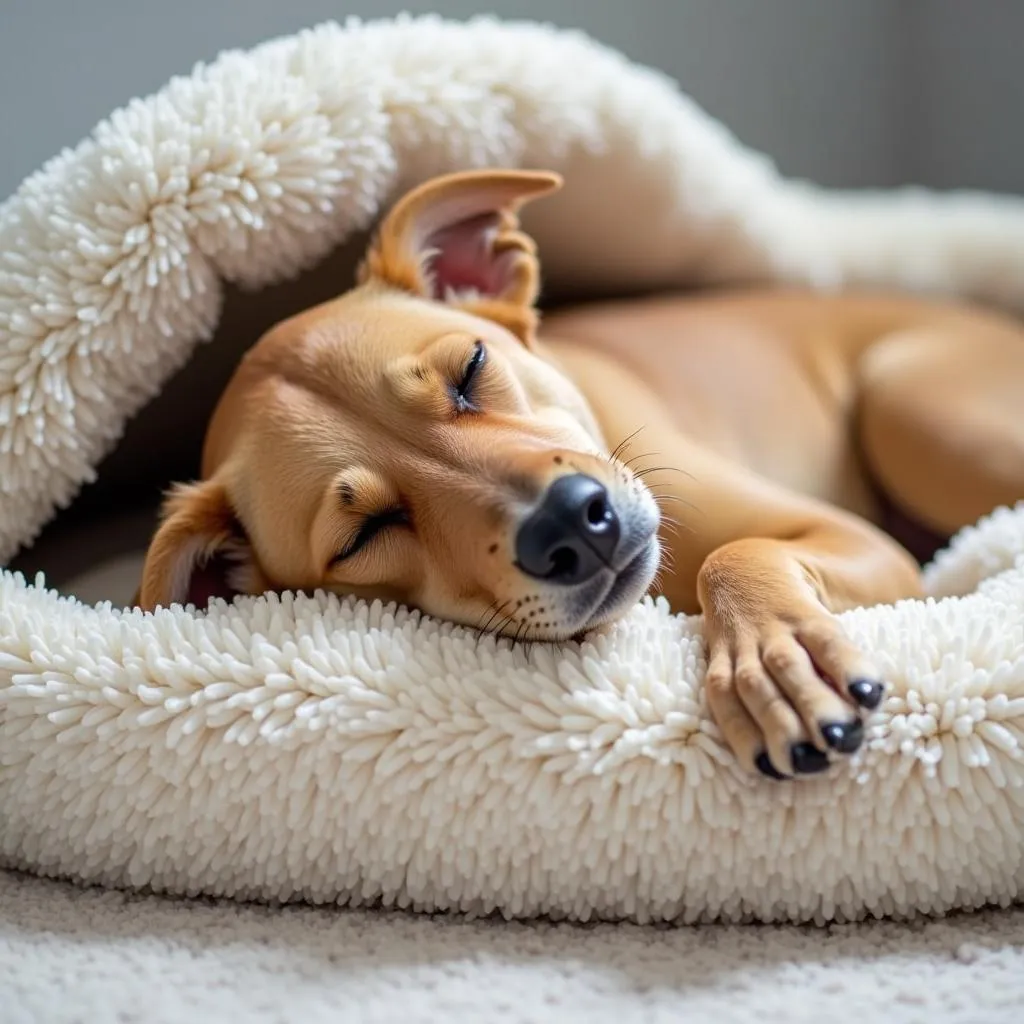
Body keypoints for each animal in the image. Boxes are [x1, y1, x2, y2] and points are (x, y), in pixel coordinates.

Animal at [136, 169, 1024, 774]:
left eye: (471, 368)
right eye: (363, 534)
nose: (572, 521)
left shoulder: (853, 539)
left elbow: (737, 555)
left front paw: (777, 661)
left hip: (911, 408)